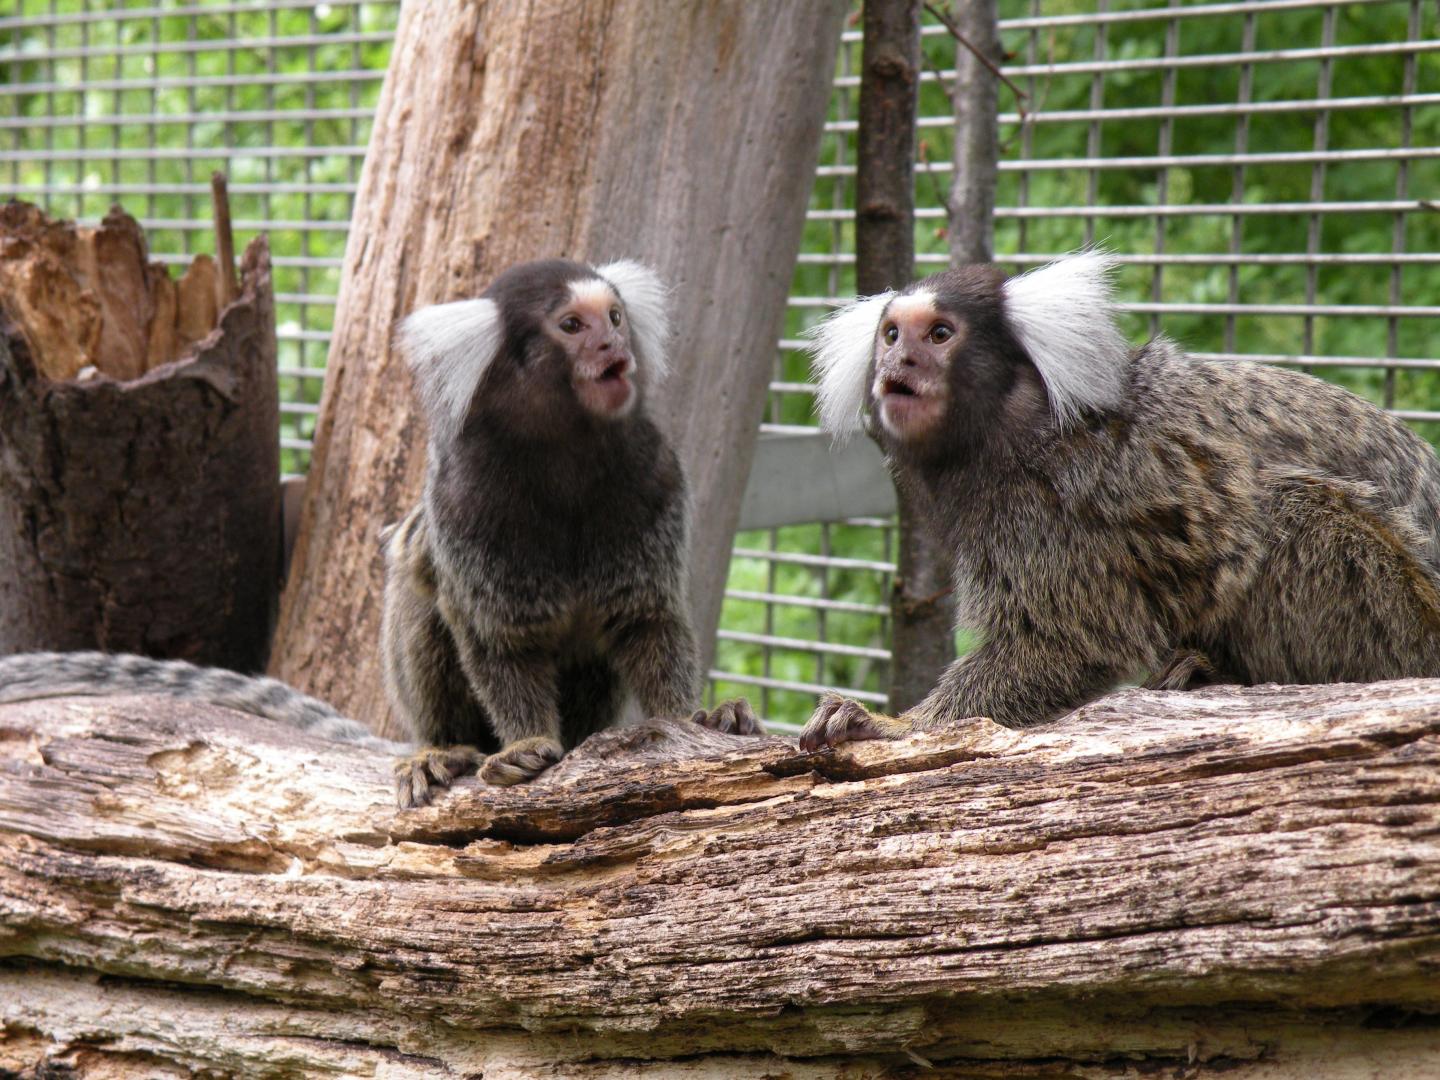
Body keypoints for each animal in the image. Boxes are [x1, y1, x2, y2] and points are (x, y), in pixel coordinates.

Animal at [383, 257, 766, 806]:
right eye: (571, 325)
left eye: (615, 317)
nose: (611, 346)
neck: (563, 450)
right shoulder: (460, 502)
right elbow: (498, 640)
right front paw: (525, 744)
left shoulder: (658, 475)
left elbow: (648, 620)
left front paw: (697, 719)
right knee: (419, 591)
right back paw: (441, 750)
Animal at [800, 252, 1440, 754]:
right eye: (890, 335)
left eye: (938, 334)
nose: (899, 362)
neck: (1019, 424)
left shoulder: (1054, 502)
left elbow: (1069, 642)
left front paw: (895, 725)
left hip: (1406, 619)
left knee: (1288, 505)